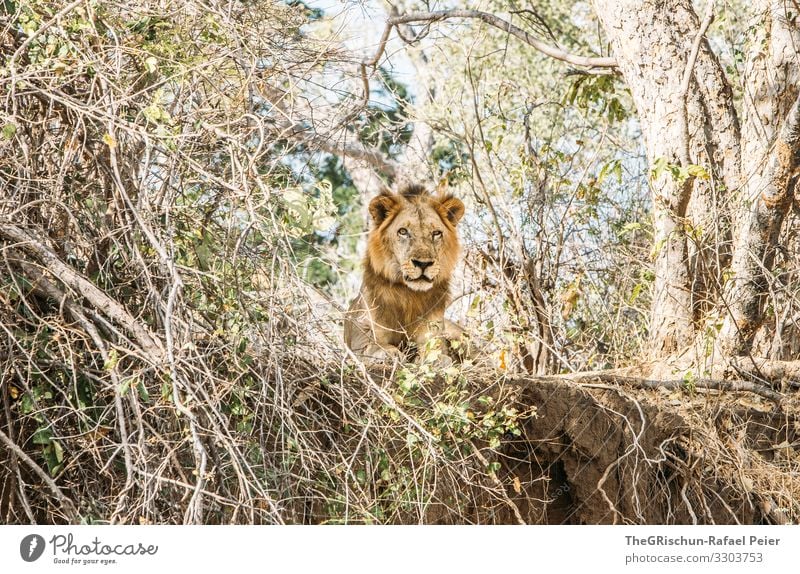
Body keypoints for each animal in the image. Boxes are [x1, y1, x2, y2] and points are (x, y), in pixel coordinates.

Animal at [342, 184, 466, 364]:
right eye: (403, 231)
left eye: (436, 233)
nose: (423, 263)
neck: (410, 295)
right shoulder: (362, 334)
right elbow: (374, 346)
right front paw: (389, 353)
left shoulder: (433, 334)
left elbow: (438, 353)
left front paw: (433, 359)